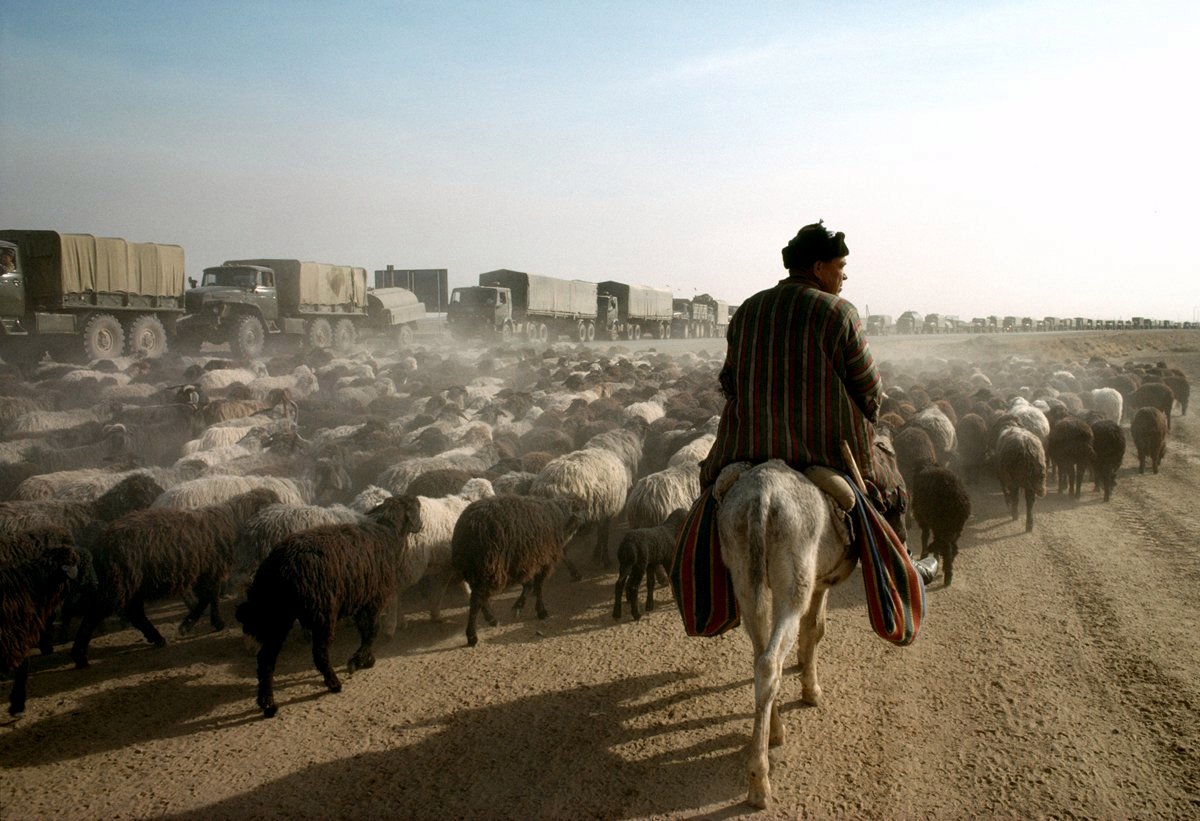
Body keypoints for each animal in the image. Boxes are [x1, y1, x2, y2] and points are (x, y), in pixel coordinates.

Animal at [71, 487, 282, 667]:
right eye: (272, 503)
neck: (234, 520)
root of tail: (101, 544)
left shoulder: (208, 570)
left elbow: (211, 597)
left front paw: (212, 622)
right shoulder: (210, 570)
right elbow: (207, 598)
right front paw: (190, 625)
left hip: (132, 584)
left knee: (135, 613)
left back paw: (157, 638)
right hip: (119, 582)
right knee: (95, 614)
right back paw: (79, 656)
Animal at [232, 494, 422, 720]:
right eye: (417, 508)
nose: (420, 525)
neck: (387, 535)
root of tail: (276, 565)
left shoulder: (360, 600)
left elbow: (366, 632)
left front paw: (367, 659)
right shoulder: (372, 600)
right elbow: (371, 633)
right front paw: (357, 661)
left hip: (279, 616)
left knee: (266, 660)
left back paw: (268, 704)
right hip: (321, 611)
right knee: (319, 653)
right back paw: (333, 683)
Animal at [448, 494, 583, 648]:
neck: (560, 517)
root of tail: (471, 526)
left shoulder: (523, 562)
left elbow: (528, 585)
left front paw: (519, 606)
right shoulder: (543, 560)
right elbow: (538, 586)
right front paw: (541, 611)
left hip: (475, 569)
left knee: (480, 596)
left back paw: (492, 619)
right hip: (489, 566)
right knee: (477, 599)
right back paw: (472, 636)